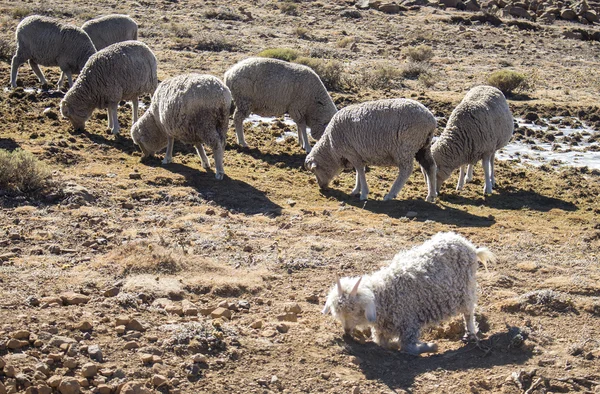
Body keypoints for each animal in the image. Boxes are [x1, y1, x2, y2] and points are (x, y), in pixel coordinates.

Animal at [304, 98, 436, 203]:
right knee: (430, 166)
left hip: (406, 147)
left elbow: (360, 171)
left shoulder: (350, 152)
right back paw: (431, 196)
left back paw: (390, 194)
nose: (321, 187)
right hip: (423, 146)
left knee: (406, 170)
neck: (331, 148)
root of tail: (431, 120)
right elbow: (359, 171)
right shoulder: (357, 153)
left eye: (315, 171)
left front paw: (363, 193)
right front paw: (356, 190)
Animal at [324, 232, 496, 356]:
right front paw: (393, 344)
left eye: (357, 311)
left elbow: (409, 348)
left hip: (466, 289)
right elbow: (382, 343)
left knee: (468, 312)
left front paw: (430, 346)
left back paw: (470, 333)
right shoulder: (383, 329)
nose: (346, 331)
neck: (385, 294)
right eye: (337, 311)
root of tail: (471, 247)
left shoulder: (409, 323)